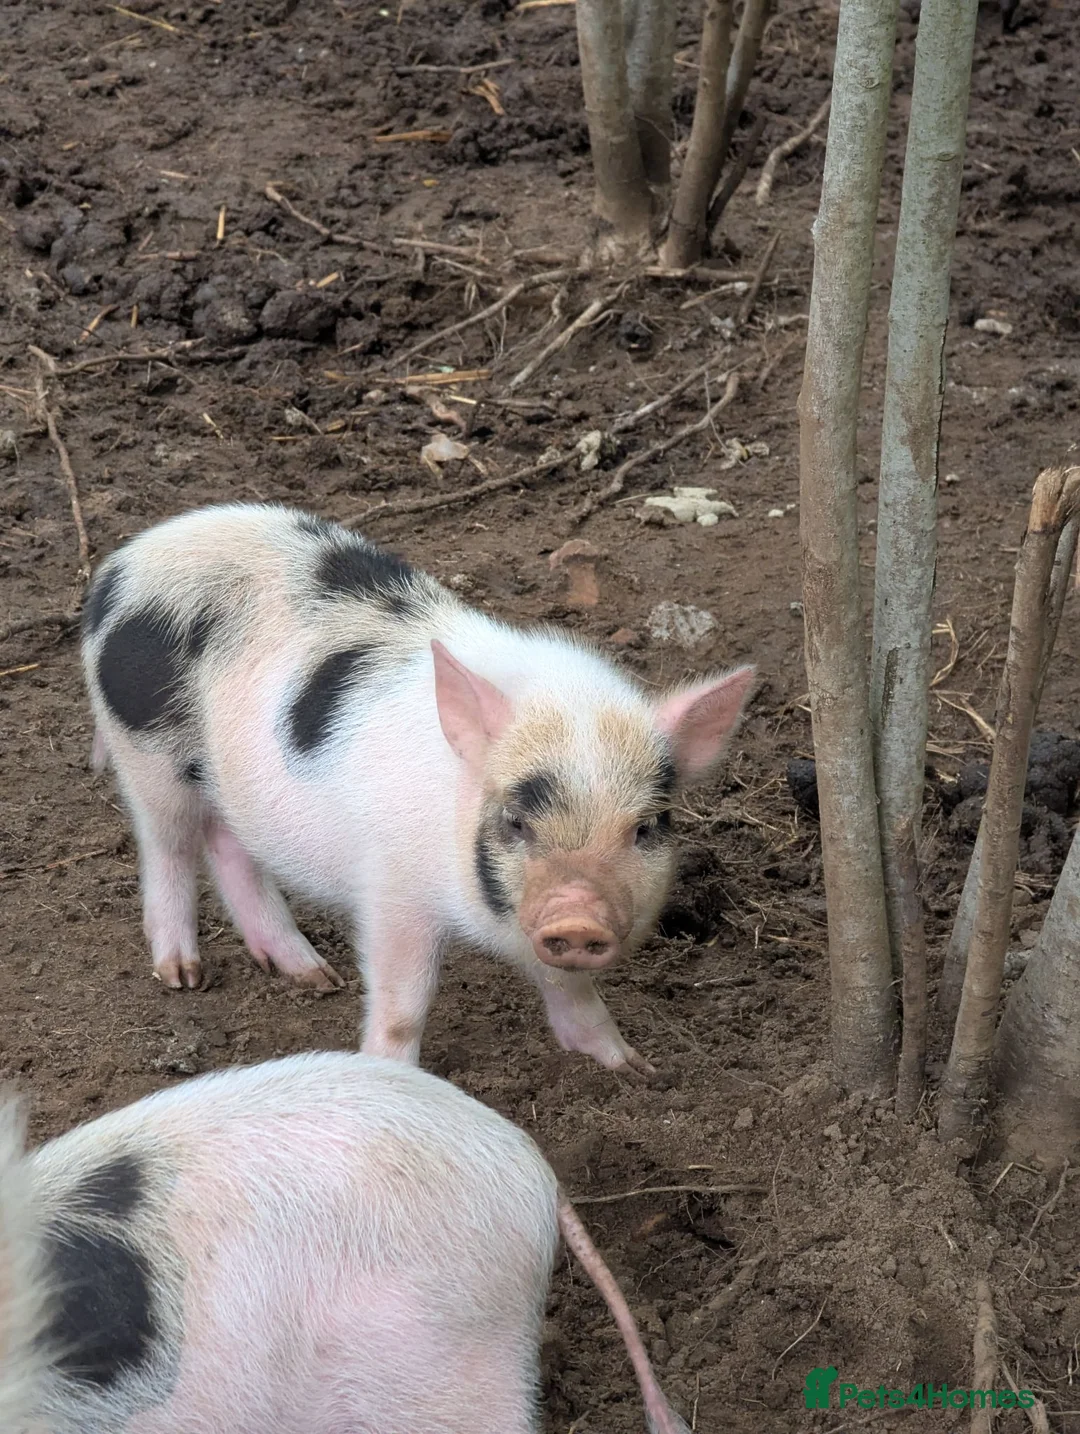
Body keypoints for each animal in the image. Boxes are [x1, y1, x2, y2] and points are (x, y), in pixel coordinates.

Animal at [81, 503, 755, 1075]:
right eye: (516, 820)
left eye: (645, 827)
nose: (578, 918)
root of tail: (122, 564)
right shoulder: (392, 889)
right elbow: (404, 1003)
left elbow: (571, 985)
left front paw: (635, 1069)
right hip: (147, 752)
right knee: (166, 845)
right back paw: (182, 975)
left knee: (229, 844)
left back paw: (313, 976)